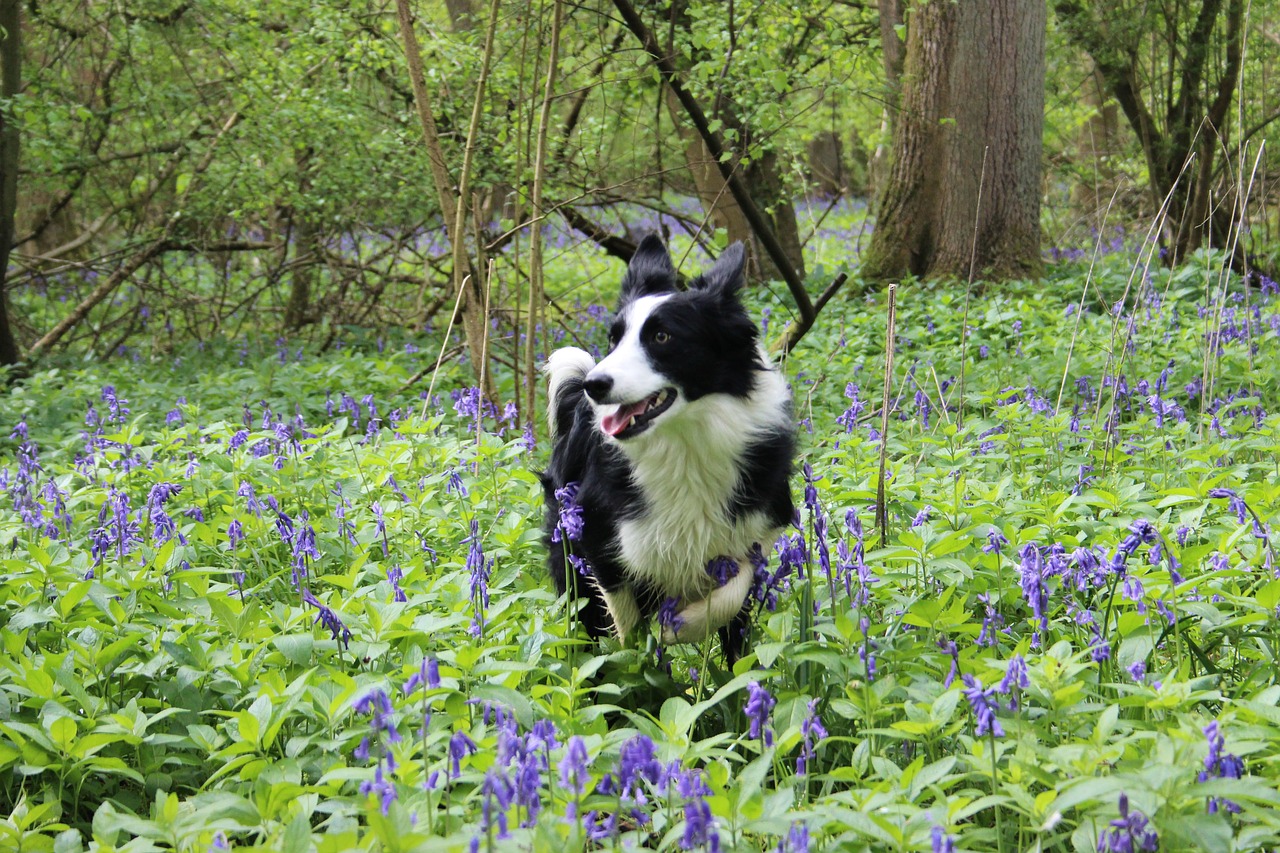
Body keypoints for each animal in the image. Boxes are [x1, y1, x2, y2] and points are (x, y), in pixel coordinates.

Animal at [542, 235, 798, 660]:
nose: (594, 385)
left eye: (662, 337)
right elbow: (625, 624)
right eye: (614, 339)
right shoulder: (600, 536)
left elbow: (733, 591)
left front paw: (682, 625)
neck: (683, 445)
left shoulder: (758, 526)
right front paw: (641, 657)